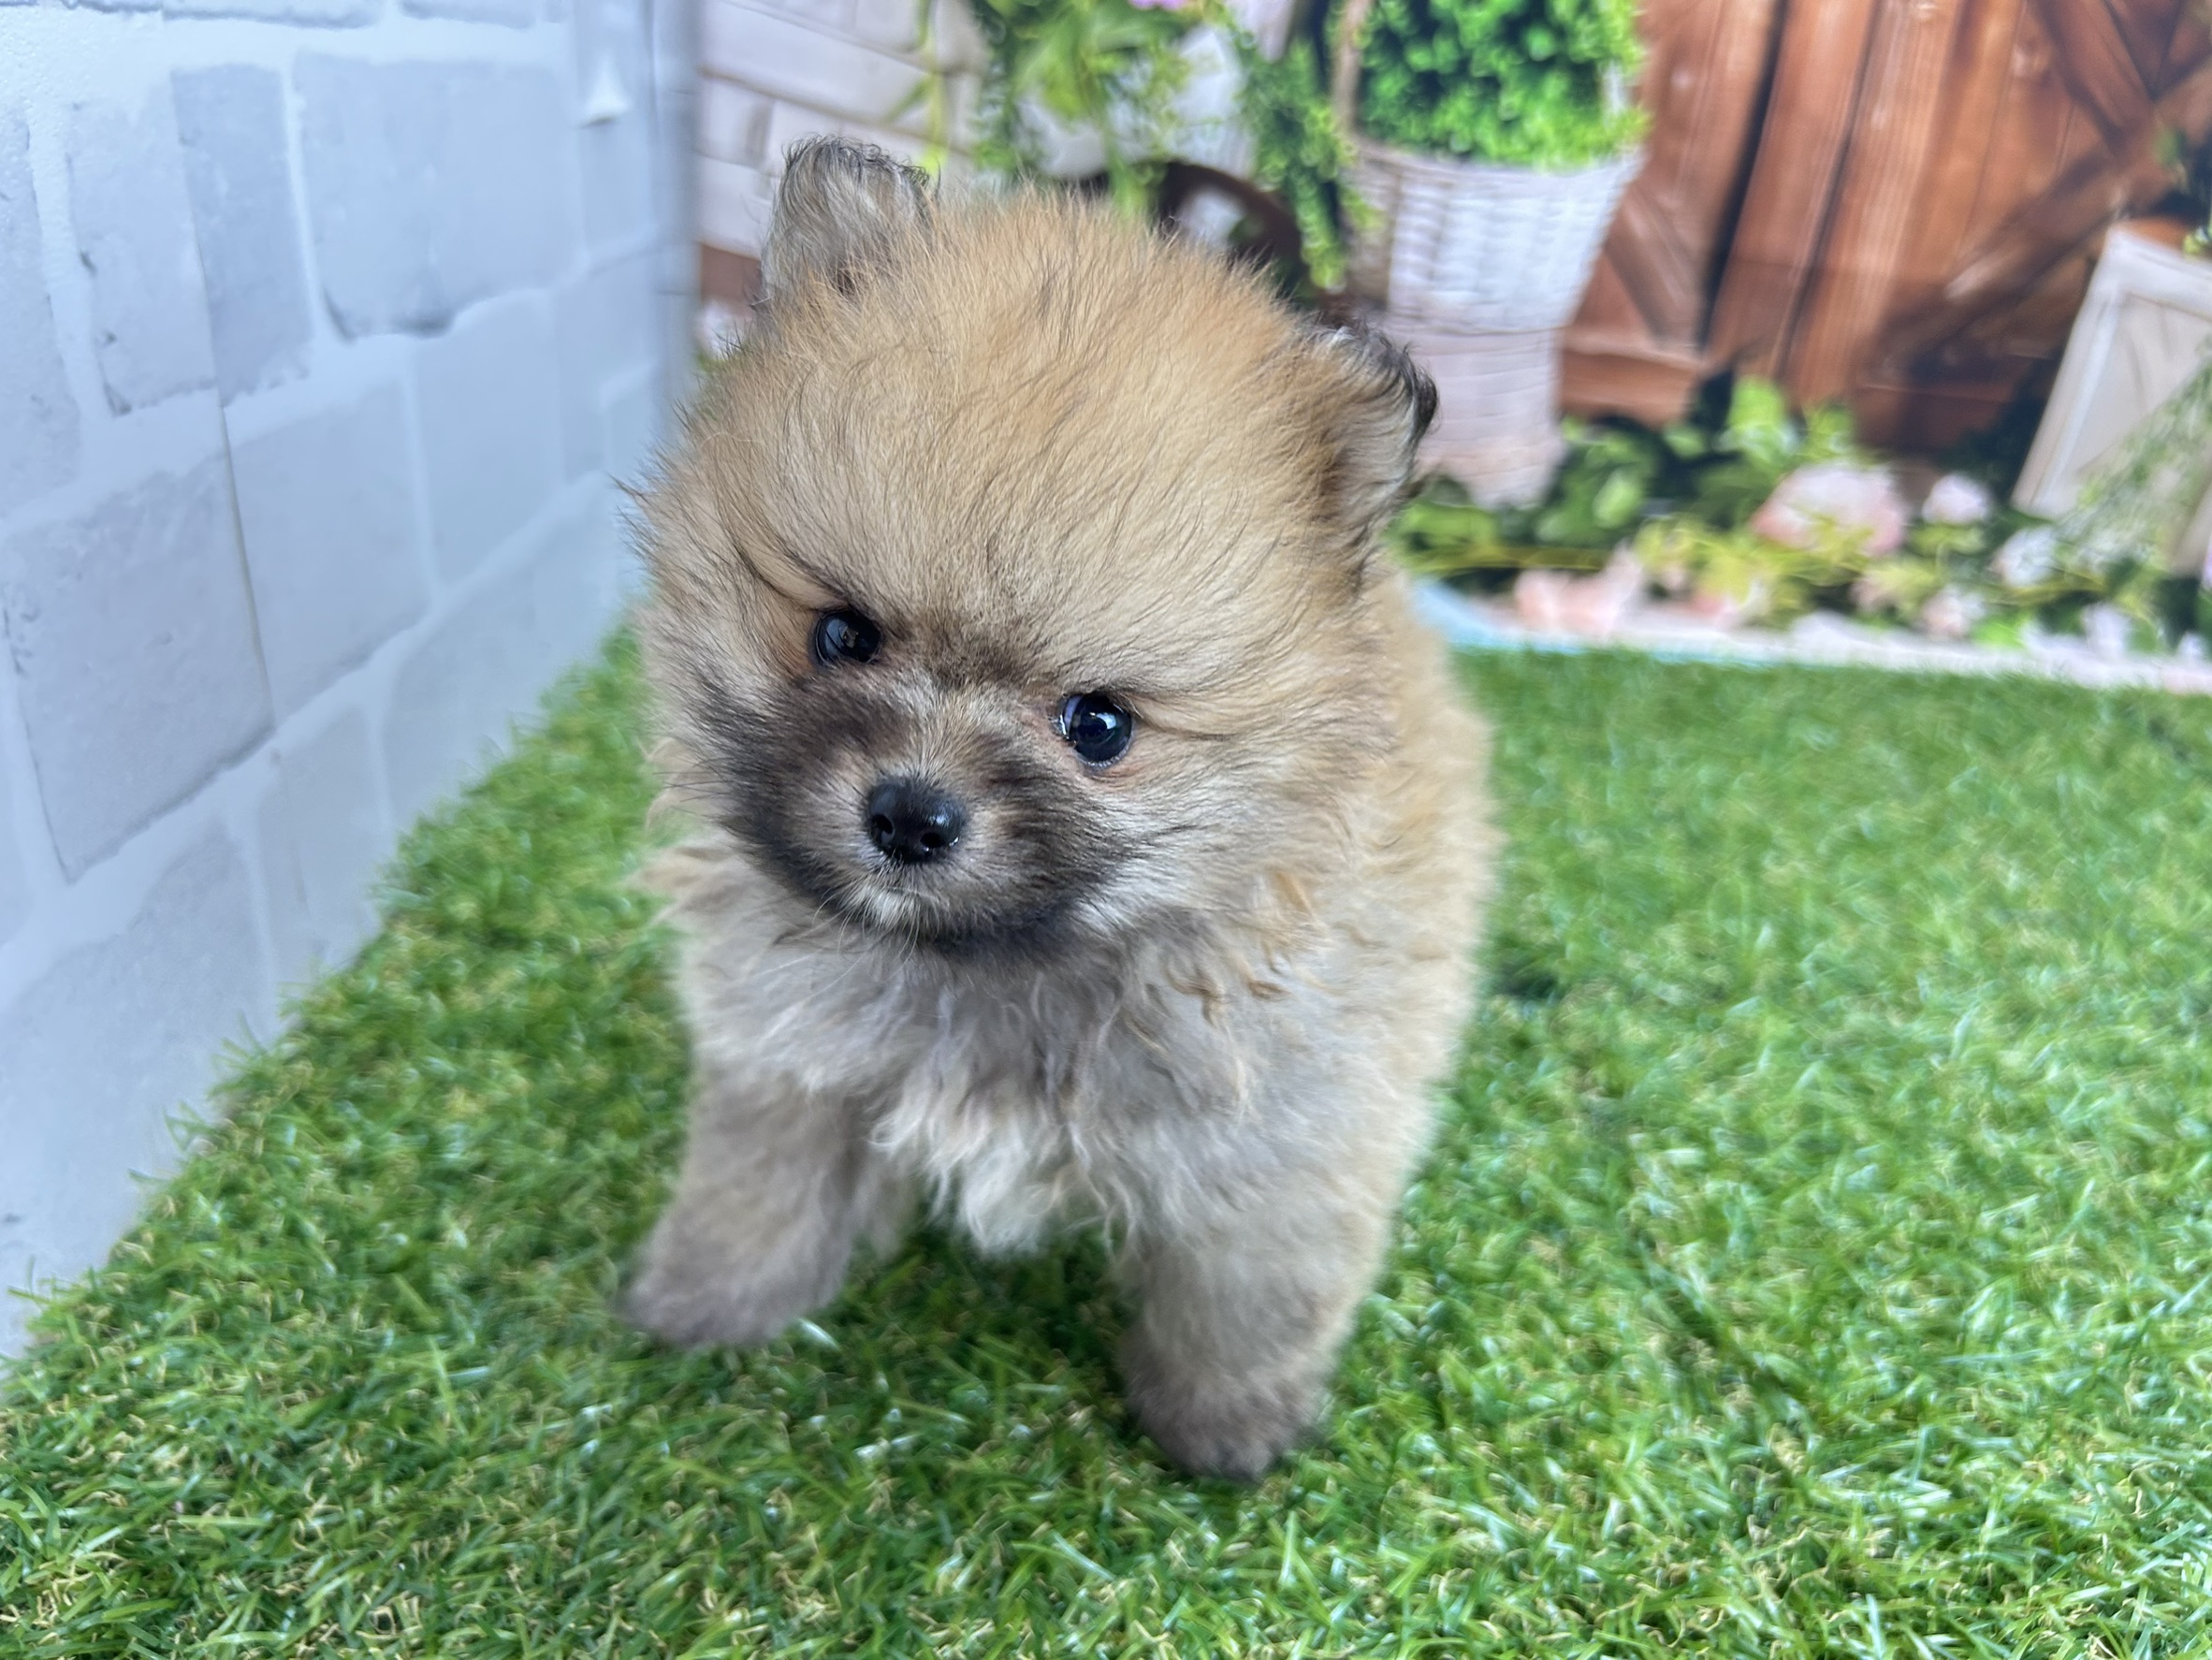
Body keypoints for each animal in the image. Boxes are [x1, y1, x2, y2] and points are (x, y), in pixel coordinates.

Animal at [625, 139, 1494, 1479]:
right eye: (842, 634)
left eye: (1099, 726)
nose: (911, 815)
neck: (997, 970)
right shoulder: (788, 1067)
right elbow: (752, 1197)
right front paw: (707, 1307)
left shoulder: (1280, 1146)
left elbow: (1245, 1303)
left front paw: (1226, 1435)